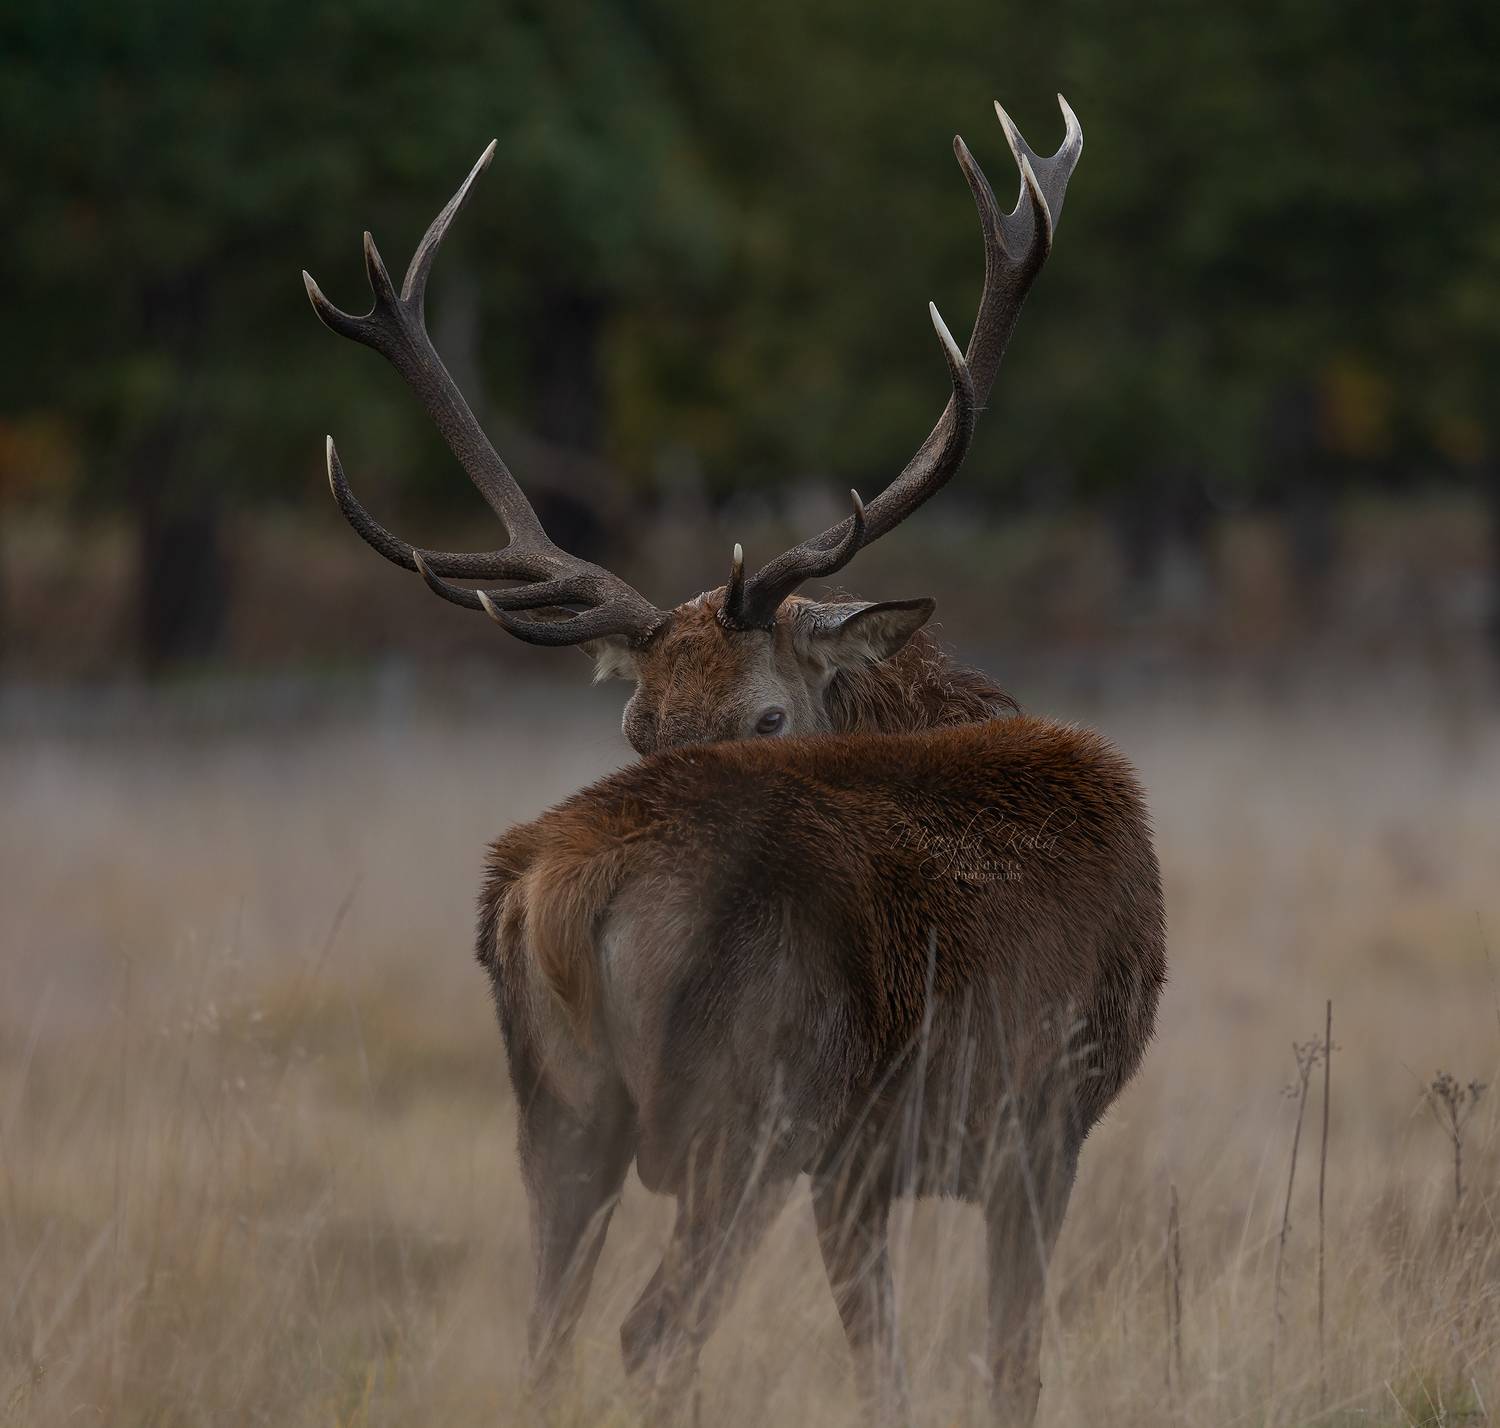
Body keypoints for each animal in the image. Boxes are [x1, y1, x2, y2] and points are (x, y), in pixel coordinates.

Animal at [304, 94, 1165, 1426]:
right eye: (640, 728)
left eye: (763, 719)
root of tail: (562, 890)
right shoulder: (1043, 1116)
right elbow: (1011, 1359)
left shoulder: (862, 1169)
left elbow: (885, 1362)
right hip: (750, 1105)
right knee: (654, 1328)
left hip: (560, 1116)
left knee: (547, 1326)